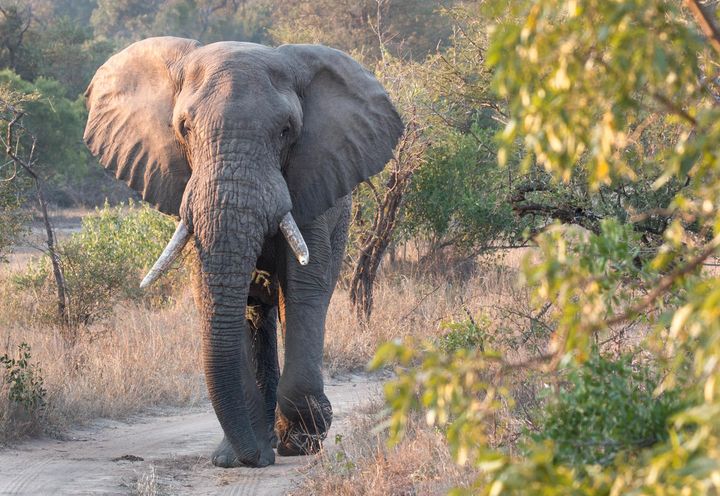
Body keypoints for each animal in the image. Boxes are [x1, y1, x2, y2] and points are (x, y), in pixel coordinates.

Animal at [81, 38, 402, 468]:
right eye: (184, 128)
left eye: (286, 131)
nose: (257, 458)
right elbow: (209, 289)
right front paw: (238, 457)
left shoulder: (312, 181)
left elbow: (304, 286)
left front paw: (303, 438)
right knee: (253, 312)